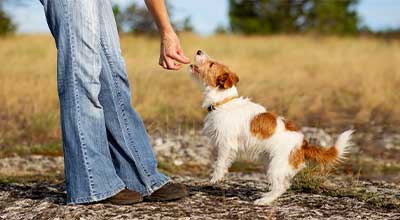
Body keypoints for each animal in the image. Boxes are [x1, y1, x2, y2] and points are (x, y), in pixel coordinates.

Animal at [188, 49, 354, 205]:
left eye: (211, 64)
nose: (199, 51)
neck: (224, 102)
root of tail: (303, 144)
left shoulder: (226, 144)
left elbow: (220, 163)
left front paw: (214, 179)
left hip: (276, 166)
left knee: (281, 187)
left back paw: (264, 200)